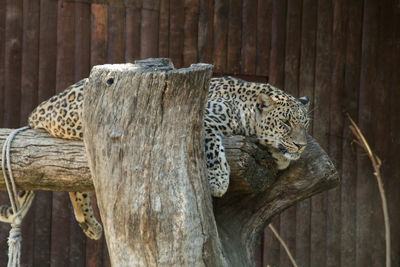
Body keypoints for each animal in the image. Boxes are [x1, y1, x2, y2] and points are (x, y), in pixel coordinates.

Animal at [0, 76, 310, 241]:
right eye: (285, 123)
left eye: (305, 124)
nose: (302, 145)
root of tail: (39, 108)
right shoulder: (200, 119)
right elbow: (211, 143)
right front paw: (218, 178)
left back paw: (89, 223)